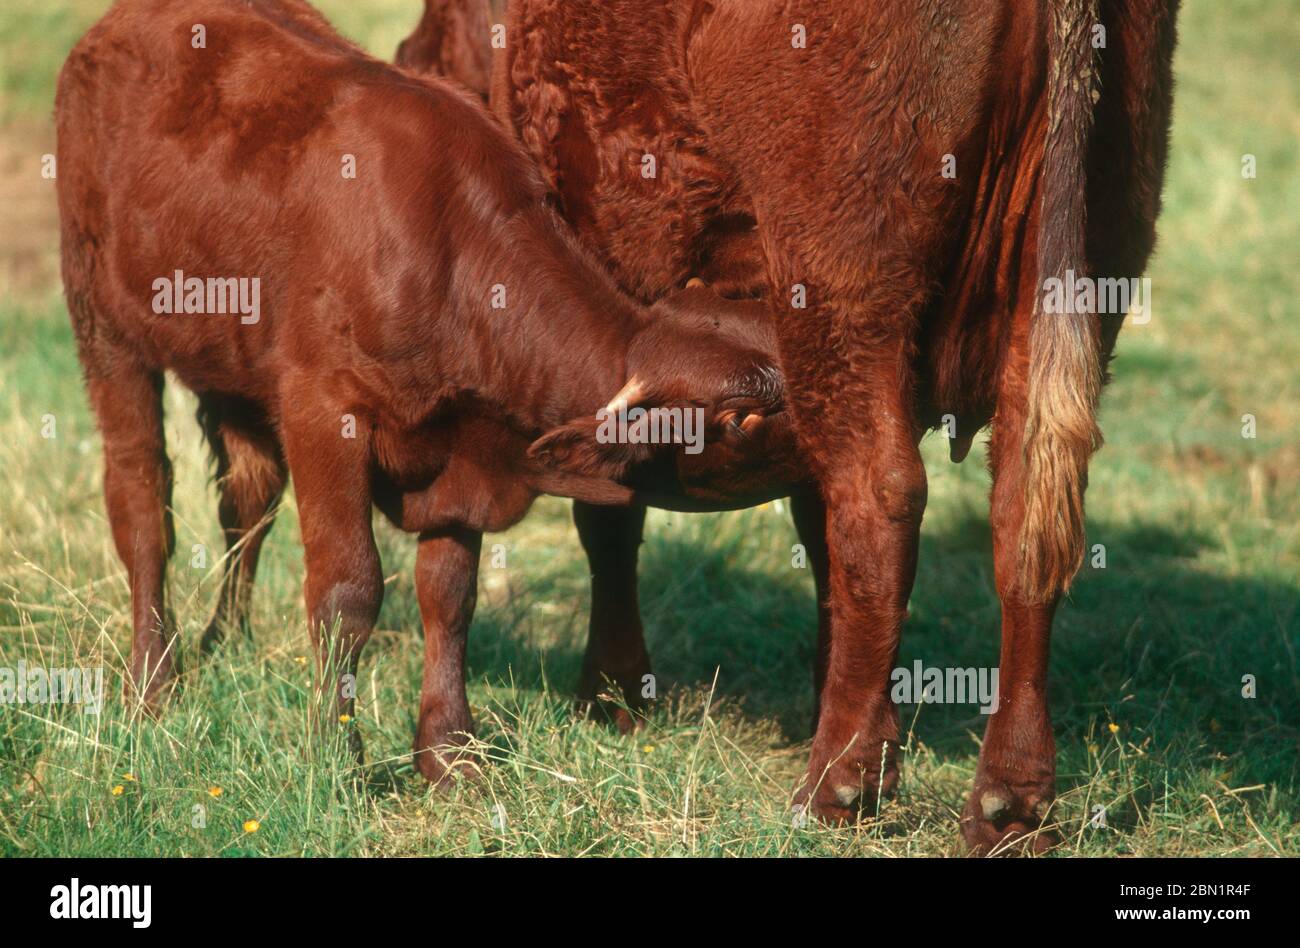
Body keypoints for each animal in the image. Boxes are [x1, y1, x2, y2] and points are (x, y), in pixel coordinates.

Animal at [55, 0, 795, 780]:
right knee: (141, 499)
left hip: (228, 361)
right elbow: (347, 589)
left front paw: (448, 753)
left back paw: (224, 641)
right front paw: (337, 755)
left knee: (247, 498)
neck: (453, 258)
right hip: (103, 325)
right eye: (741, 418)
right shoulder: (323, 410)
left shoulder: (461, 454)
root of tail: (117, 26)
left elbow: (449, 592)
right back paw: (151, 682)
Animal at [486, 0, 1180, 853]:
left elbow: (609, 513)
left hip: (842, 278)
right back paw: (1008, 801)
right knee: (1026, 513)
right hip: (1084, 260)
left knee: (880, 500)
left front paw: (611, 693)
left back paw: (836, 783)